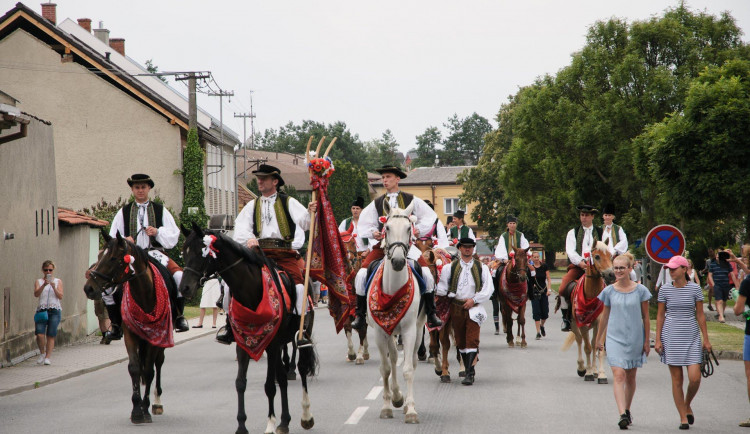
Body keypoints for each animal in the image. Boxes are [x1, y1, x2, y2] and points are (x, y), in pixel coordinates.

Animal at [181, 224, 318, 434]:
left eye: (200, 252)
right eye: (184, 252)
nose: (184, 288)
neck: (251, 290)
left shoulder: (272, 345)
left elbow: (270, 386)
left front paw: (270, 423)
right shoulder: (244, 343)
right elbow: (240, 383)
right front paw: (242, 426)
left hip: (302, 333)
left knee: (301, 368)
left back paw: (306, 415)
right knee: (282, 378)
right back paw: (284, 421)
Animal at [370, 203, 428, 424]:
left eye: (409, 228)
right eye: (386, 228)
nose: (397, 261)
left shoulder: (409, 330)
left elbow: (408, 370)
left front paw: (410, 409)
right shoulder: (379, 333)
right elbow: (386, 368)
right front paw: (387, 405)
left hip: (417, 330)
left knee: (411, 360)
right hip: (389, 333)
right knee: (393, 359)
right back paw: (395, 397)